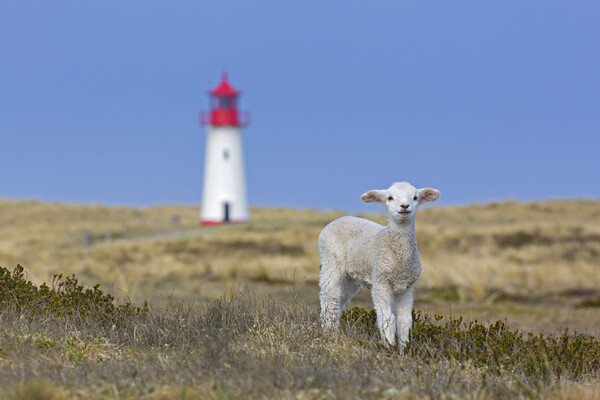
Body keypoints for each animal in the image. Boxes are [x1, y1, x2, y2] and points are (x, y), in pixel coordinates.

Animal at [318, 182, 440, 346]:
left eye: (415, 197)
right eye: (390, 197)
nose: (405, 206)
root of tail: (339, 219)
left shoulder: (406, 288)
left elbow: (404, 322)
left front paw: (404, 348)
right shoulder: (381, 284)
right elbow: (387, 320)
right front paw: (388, 346)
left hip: (351, 277)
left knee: (339, 301)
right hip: (331, 261)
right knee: (330, 300)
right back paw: (329, 333)